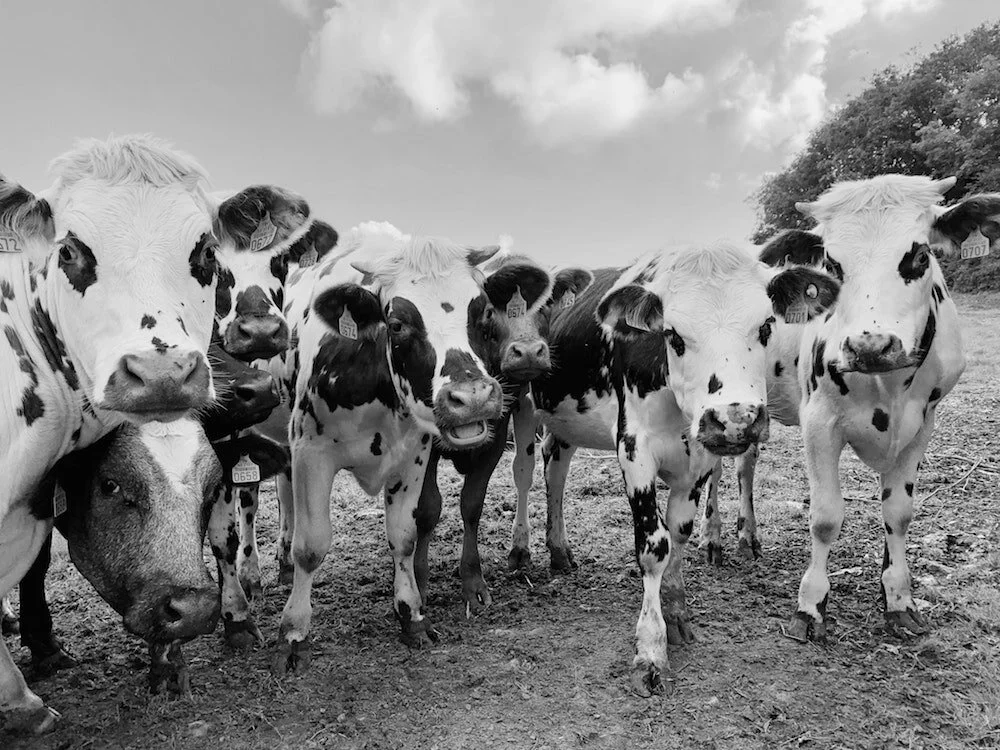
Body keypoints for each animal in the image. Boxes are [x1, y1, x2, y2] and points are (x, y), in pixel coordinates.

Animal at [272, 223, 557, 674]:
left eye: (483, 313)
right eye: (396, 323)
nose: (472, 397)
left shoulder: (415, 456)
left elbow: (405, 536)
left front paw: (411, 614)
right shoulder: (310, 453)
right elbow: (311, 546)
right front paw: (293, 635)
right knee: (286, 499)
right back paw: (282, 561)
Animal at [528, 242, 839, 695]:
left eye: (766, 326)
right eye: (673, 335)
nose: (735, 418)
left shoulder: (700, 458)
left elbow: (679, 534)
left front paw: (675, 614)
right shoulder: (634, 449)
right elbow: (654, 545)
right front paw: (650, 649)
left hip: (566, 421)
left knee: (556, 463)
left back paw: (558, 549)